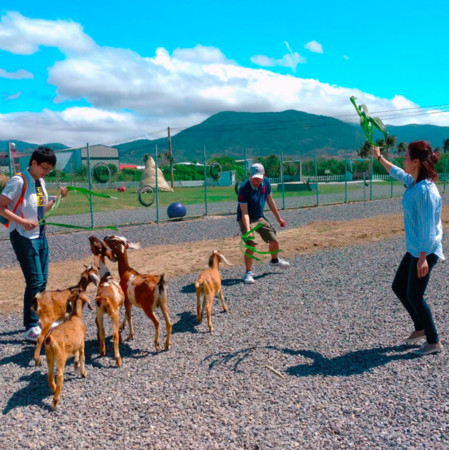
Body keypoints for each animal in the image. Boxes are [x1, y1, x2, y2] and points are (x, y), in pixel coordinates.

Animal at [89, 236, 125, 366]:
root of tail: (103, 298)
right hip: (114, 314)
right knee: (114, 334)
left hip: (100, 313)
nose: (90, 237)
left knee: (102, 331)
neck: (106, 276)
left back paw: (102, 352)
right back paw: (118, 359)